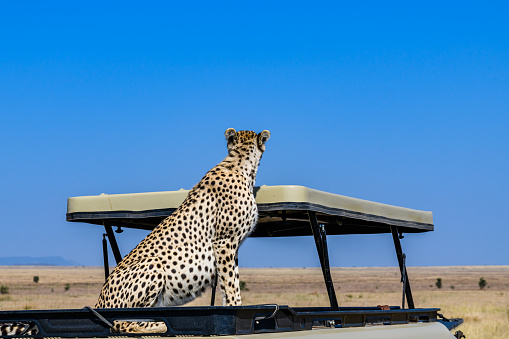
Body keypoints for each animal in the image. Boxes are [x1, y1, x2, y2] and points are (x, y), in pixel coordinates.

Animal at [96, 129, 270, 334]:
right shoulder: (224, 241)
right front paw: (236, 313)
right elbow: (230, 284)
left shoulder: (229, 248)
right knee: (123, 322)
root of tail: (99, 301)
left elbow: (229, 283)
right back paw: (162, 325)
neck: (239, 163)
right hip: (153, 264)